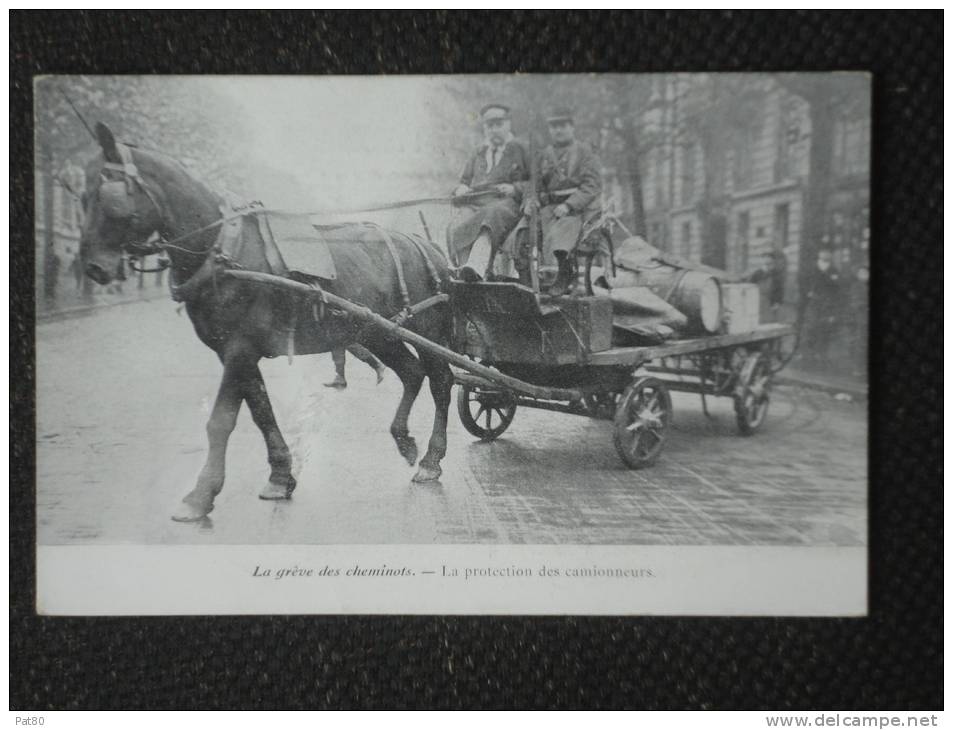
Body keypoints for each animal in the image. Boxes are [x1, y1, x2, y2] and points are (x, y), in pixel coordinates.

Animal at [79, 123, 454, 524]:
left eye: (108, 197)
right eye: (82, 196)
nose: (94, 268)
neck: (221, 250)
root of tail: (429, 247)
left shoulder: (239, 349)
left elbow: (221, 421)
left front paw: (200, 495)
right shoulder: (235, 352)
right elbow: (261, 411)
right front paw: (280, 476)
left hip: (427, 331)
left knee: (441, 382)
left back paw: (432, 459)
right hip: (377, 332)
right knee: (412, 373)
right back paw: (404, 440)